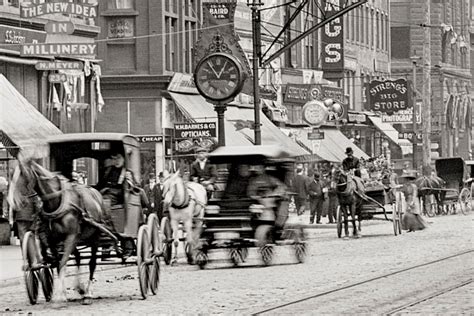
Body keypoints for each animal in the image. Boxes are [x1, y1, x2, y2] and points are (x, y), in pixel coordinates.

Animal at [8, 159, 112, 304]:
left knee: (92, 263)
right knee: (78, 256)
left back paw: (88, 292)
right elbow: (59, 263)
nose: (13, 202)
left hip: (94, 237)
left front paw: (60, 295)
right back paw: (79, 287)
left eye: (23, 174)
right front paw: (61, 292)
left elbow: (63, 262)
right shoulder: (53, 239)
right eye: (11, 174)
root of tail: (96, 193)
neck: (56, 202)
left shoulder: (71, 235)